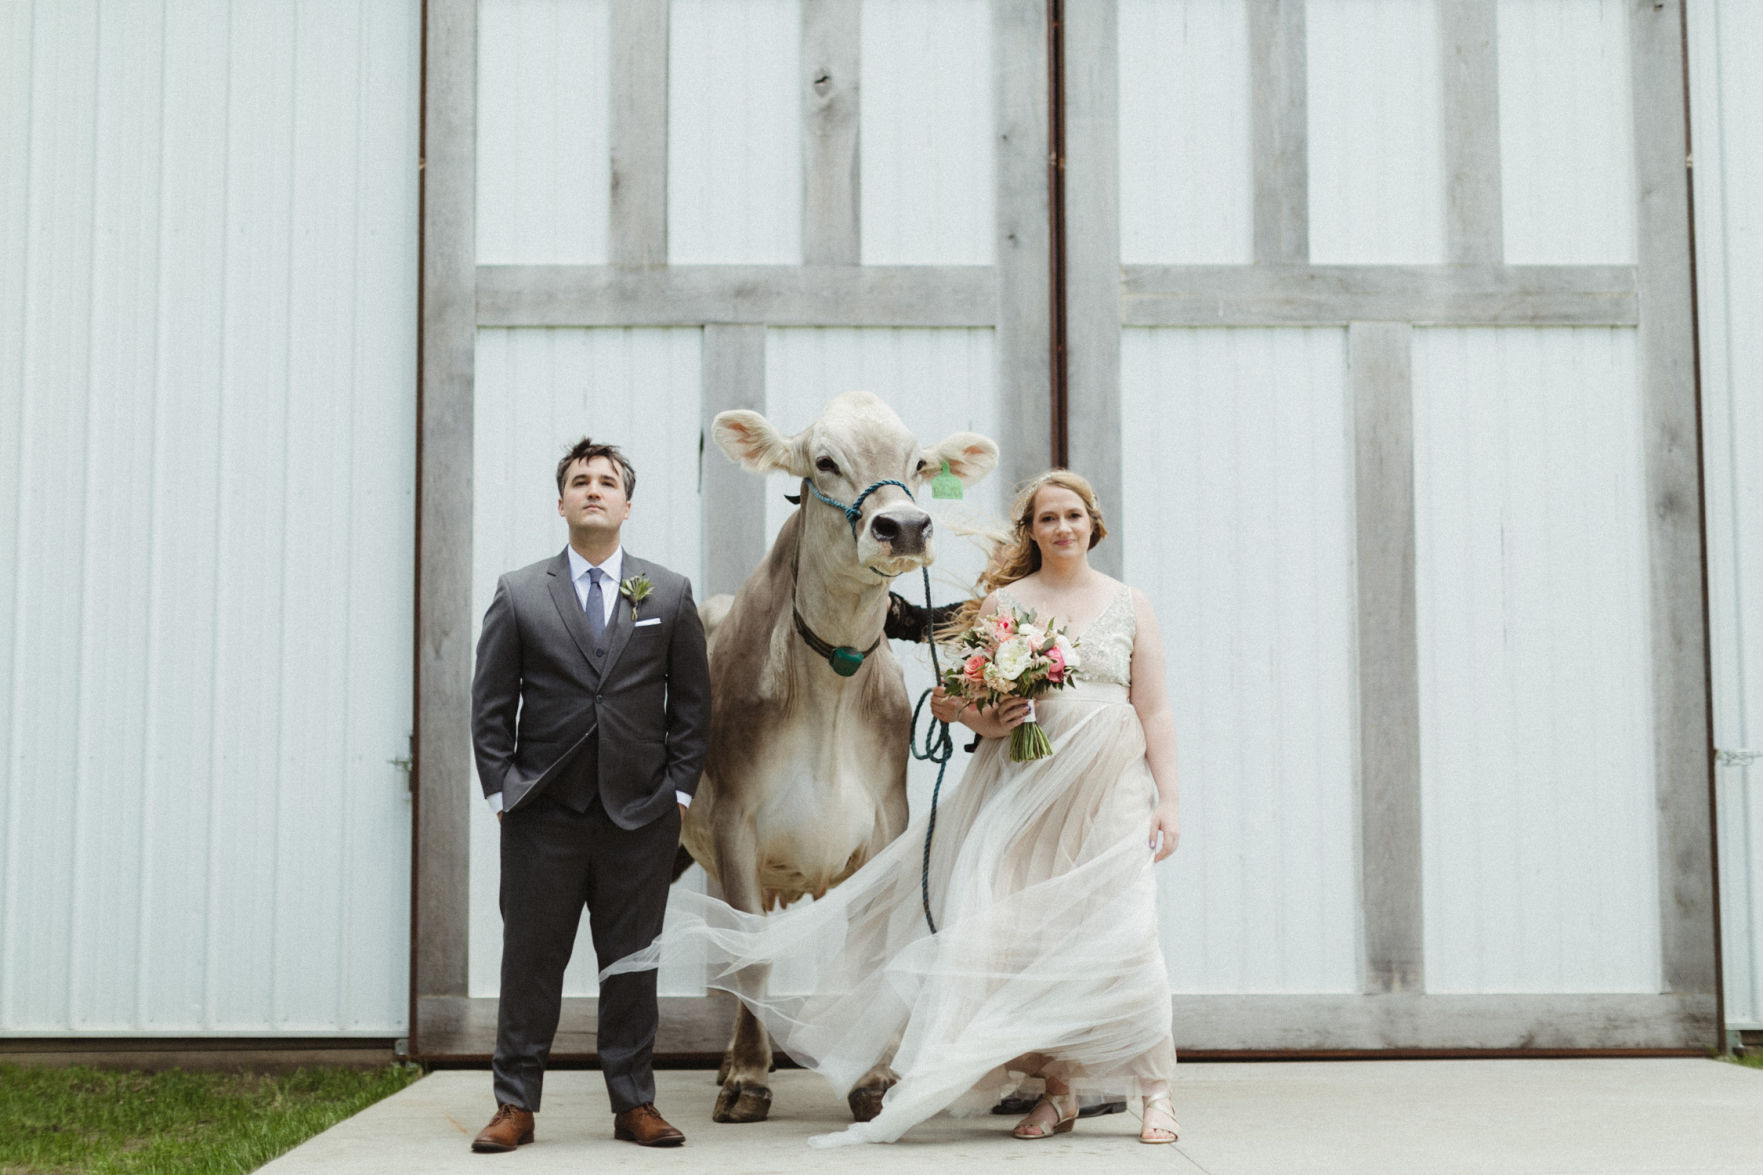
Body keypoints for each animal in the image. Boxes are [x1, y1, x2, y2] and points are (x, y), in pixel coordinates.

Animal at [680, 391, 1001, 1115]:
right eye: (824, 461)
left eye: (918, 462)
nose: (904, 525)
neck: (827, 692)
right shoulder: (736, 821)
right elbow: (750, 955)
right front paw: (748, 1077)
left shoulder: (885, 824)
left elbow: (868, 958)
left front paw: (871, 1076)